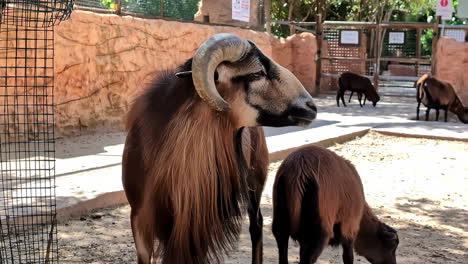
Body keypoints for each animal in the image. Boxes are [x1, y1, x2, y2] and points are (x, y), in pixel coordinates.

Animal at [121, 34, 318, 264]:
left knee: (257, 224)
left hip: (255, 181)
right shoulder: (140, 218)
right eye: (257, 73)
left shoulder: (195, 225)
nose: (311, 107)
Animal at [270, 146, 398, 264]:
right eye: (392, 246)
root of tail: (298, 170)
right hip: (318, 233)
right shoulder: (349, 227)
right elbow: (348, 256)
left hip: (281, 223)